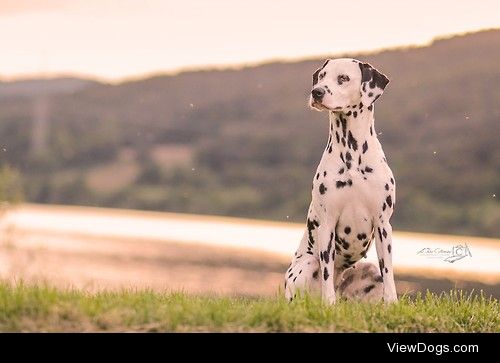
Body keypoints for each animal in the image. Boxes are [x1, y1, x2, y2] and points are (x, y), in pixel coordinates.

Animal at [286, 58, 398, 306]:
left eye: (343, 78)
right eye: (322, 76)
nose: (316, 92)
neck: (352, 154)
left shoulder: (383, 224)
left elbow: (388, 271)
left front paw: (392, 302)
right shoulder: (327, 225)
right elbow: (327, 272)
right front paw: (328, 304)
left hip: (369, 270)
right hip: (305, 267)